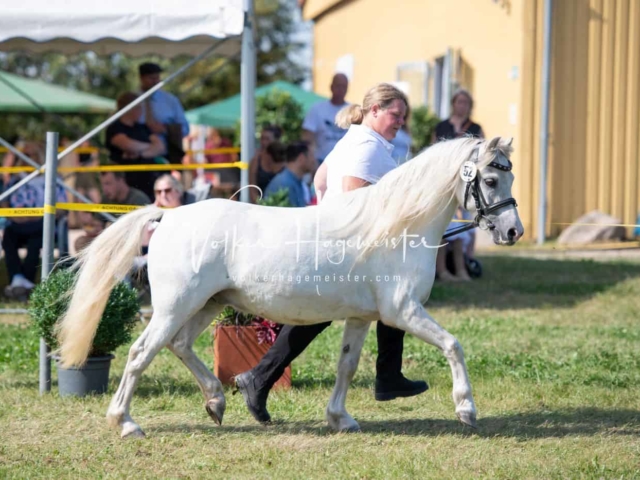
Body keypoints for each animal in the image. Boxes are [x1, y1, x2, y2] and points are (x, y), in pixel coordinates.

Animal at [57, 136, 524, 438]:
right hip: (176, 305)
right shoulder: (403, 312)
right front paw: (466, 409)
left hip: (207, 304)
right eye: (490, 180)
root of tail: (168, 216)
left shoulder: (361, 317)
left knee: (180, 345)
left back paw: (218, 402)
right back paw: (125, 423)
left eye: (509, 178)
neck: (396, 229)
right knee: (141, 353)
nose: (513, 231)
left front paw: (340, 419)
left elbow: (347, 365)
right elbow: (453, 345)